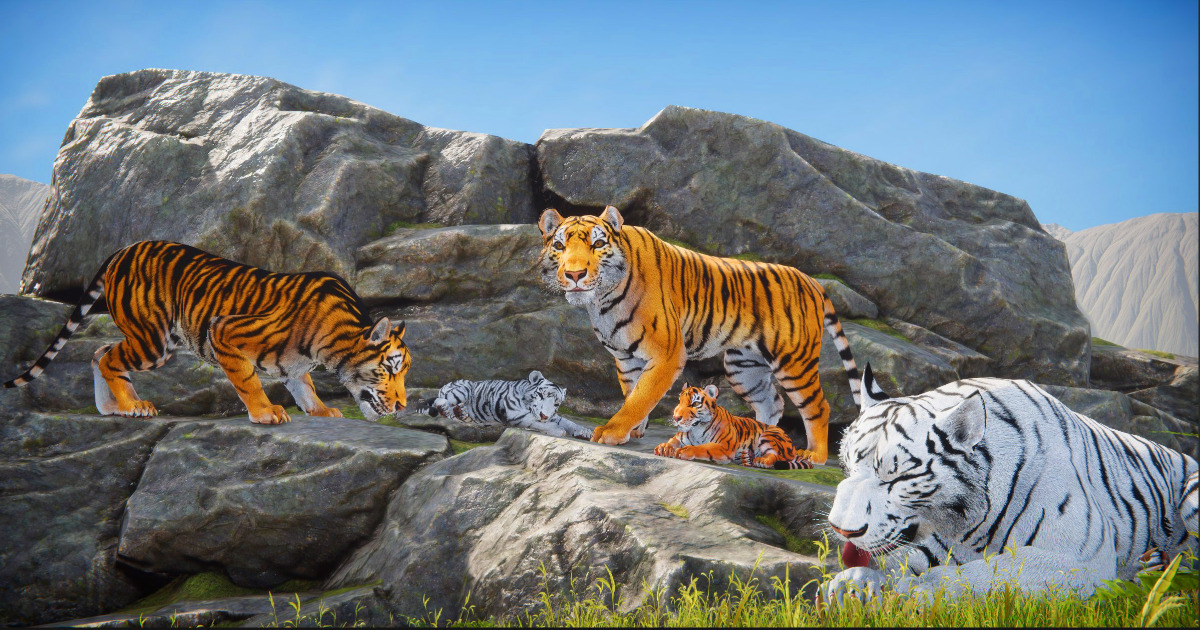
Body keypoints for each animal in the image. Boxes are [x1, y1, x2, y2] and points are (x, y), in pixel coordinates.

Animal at [3, 240, 411, 424]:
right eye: (389, 369)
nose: (403, 406)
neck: (331, 344)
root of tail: (124, 248)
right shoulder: (225, 329)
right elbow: (248, 382)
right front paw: (266, 413)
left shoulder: (293, 365)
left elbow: (304, 386)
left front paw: (323, 411)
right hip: (152, 341)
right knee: (108, 358)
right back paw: (133, 406)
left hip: (154, 340)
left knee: (99, 351)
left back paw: (112, 408)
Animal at [425, 370, 593, 439]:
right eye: (540, 396)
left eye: (556, 404)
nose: (544, 415)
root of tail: (448, 383)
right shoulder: (518, 416)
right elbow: (539, 424)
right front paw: (558, 430)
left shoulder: (553, 416)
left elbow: (568, 422)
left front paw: (584, 431)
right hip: (462, 389)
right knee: (440, 401)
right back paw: (447, 410)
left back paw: (461, 412)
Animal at [654, 383, 813, 469]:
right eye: (679, 401)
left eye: (695, 403)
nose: (676, 417)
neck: (697, 428)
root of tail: (793, 447)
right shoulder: (680, 437)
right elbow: (672, 441)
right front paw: (664, 447)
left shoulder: (724, 447)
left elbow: (703, 448)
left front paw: (686, 450)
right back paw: (746, 459)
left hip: (770, 435)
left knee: (777, 456)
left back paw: (761, 461)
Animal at [823, 364, 1199, 604]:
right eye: (846, 466)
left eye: (898, 478)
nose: (841, 531)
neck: (965, 521)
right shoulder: (941, 544)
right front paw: (851, 585)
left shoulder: (1080, 555)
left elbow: (980, 574)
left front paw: (909, 593)